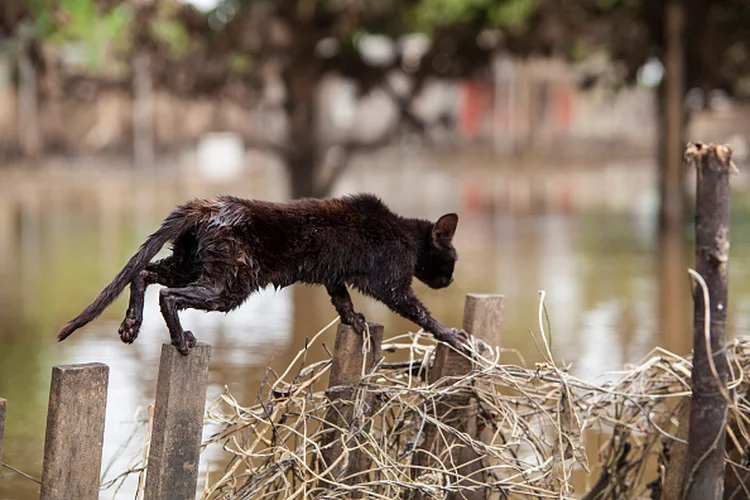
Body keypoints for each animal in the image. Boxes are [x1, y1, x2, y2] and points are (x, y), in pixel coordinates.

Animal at [58, 193, 468, 354]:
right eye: (452, 260)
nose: (448, 280)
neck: (406, 236)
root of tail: (207, 206)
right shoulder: (393, 284)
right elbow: (424, 316)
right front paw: (454, 336)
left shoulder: (333, 275)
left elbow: (341, 298)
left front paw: (354, 320)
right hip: (230, 284)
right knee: (167, 294)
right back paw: (181, 340)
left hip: (190, 264)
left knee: (143, 273)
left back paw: (130, 325)